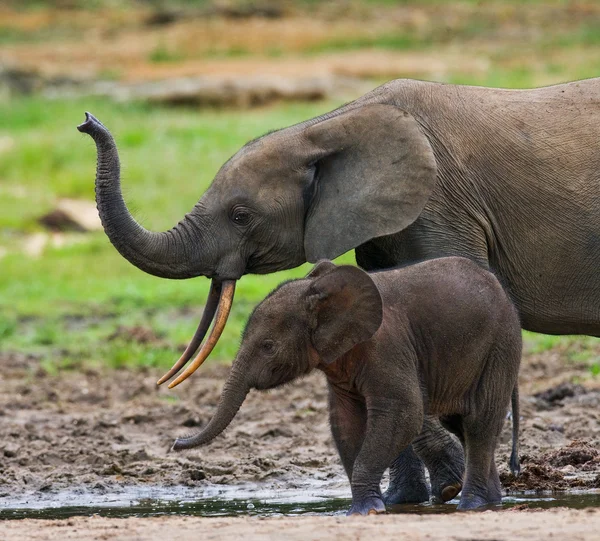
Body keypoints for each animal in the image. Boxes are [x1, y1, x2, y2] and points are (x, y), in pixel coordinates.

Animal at [172, 258, 520, 516]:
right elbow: (346, 421)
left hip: (500, 346)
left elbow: (404, 412)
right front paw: (363, 508)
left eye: (268, 346)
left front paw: (365, 511)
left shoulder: (388, 346)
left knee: (479, 423)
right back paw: (491, 503)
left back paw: (472, 505)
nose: (175, 442)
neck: (320, 294)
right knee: (463, 426)